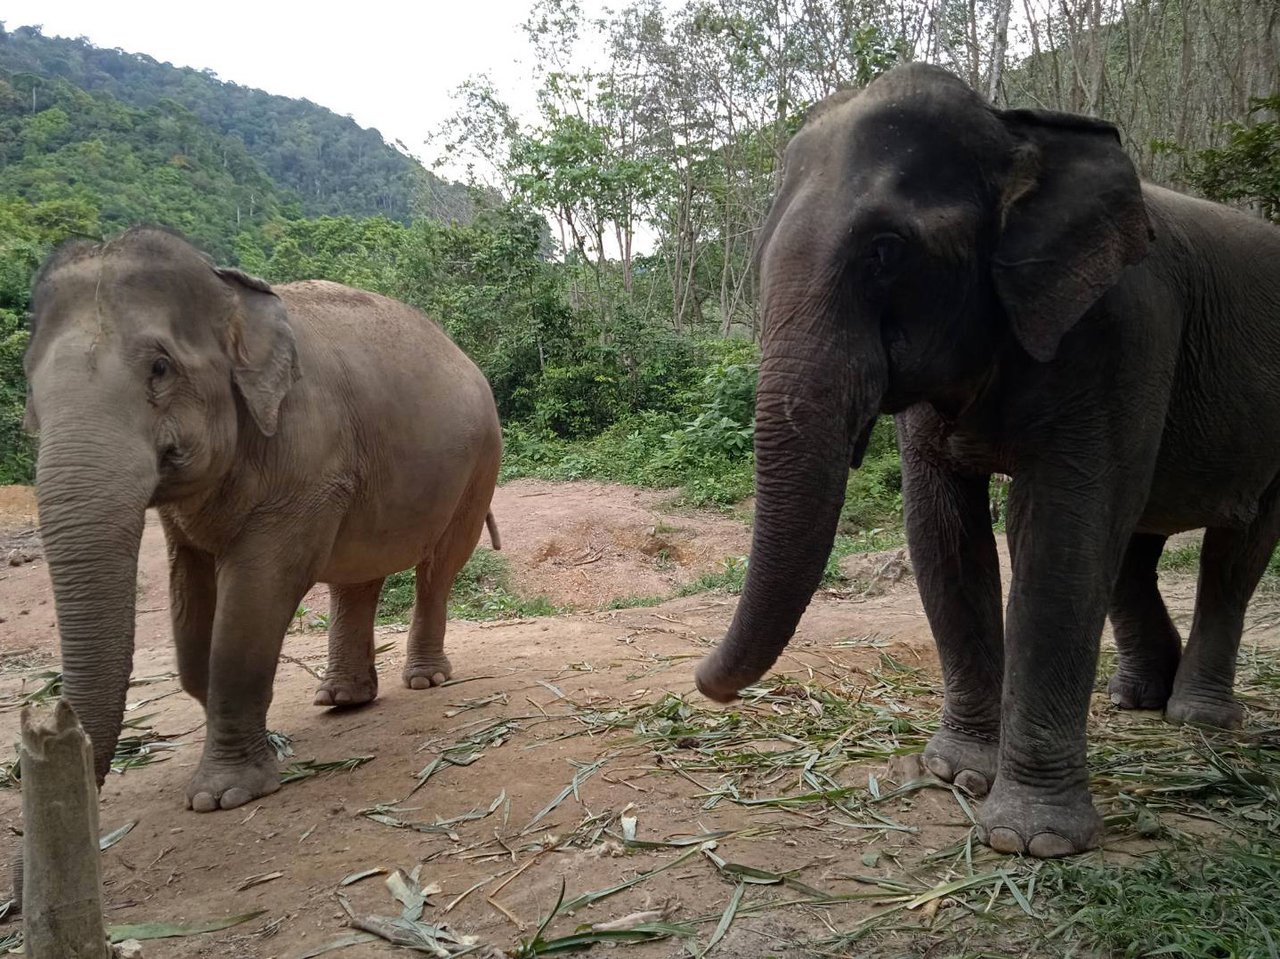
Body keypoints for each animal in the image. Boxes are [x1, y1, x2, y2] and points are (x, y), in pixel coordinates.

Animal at [696, 61, 1280, 855]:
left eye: (885, 250)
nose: (705, 686)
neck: (1018, 133)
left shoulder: (1121, 330)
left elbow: (1062, 532)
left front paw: (1031, 841)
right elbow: (943, 531)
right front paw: (955, 775)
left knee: (1233, 551)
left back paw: (1196, 718)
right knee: (1135, 547)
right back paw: (1136, 701)